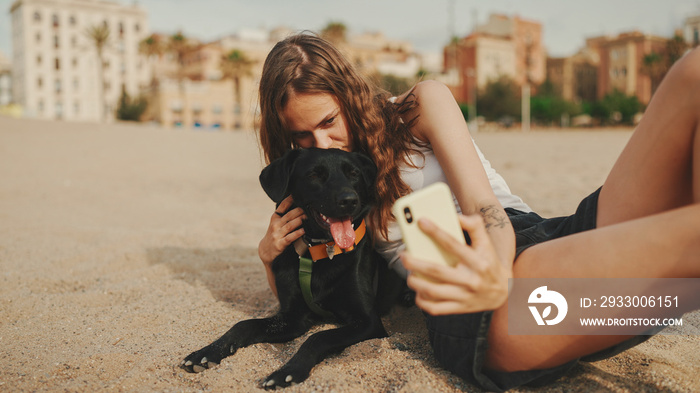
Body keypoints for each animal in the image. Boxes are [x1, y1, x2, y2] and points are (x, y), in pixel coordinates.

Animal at [183, 149, 402, 388]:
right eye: (315, 175)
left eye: (353, 173)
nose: (349, 200)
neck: (320, 252)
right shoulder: (293, 317)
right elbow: (243, 324)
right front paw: (207, 352)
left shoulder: (368, 321)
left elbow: (318, 337)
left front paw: (289, 371)